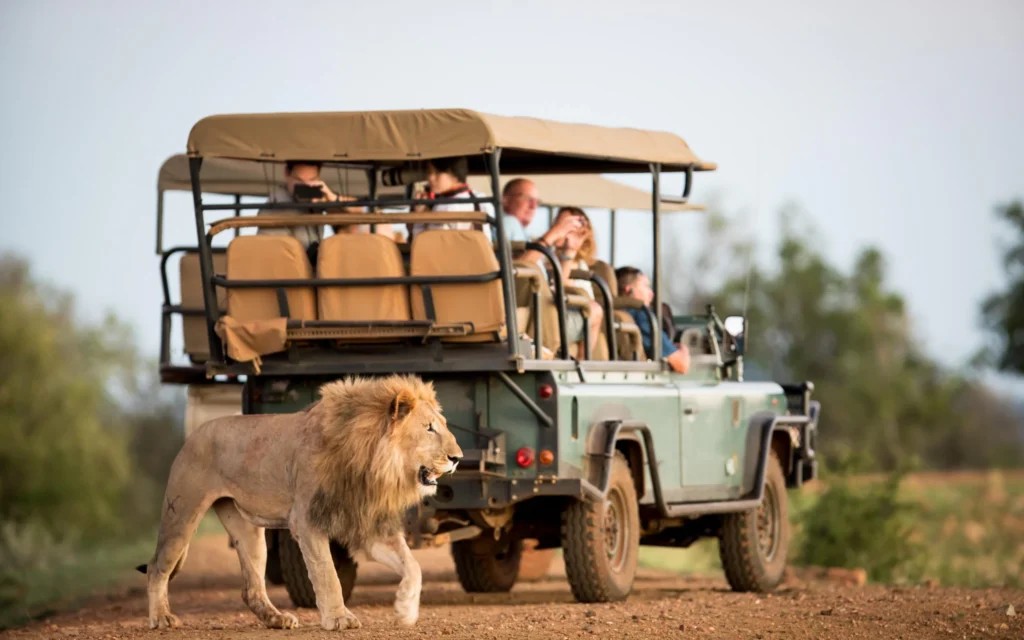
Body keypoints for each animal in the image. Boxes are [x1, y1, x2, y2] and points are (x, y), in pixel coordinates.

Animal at [136, 374, 462, 631]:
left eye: (444, 425)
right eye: (429, 428)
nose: (458, 458)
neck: (372, 463)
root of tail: (194, 434)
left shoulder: (368, 525)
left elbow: (413, 566)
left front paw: (405, 609)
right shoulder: (307, 521)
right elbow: (327, 573)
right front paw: (339, 618)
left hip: (247, 531)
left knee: (251, 587)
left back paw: (276, 619)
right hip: (182, 513)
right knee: (157, 567)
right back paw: (162, 618)